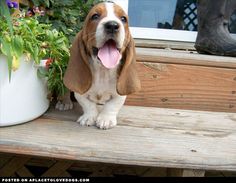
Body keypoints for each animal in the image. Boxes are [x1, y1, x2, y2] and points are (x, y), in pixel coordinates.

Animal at [62, 1, 140, 130]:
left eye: (123, 19)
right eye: (95, 16)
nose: (112, 25)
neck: (103, 71)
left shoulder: (120, 95)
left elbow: (112, 105)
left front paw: (105, 119)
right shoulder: (80, 93)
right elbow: (88, 105)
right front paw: (89, 117)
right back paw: (64, 102)